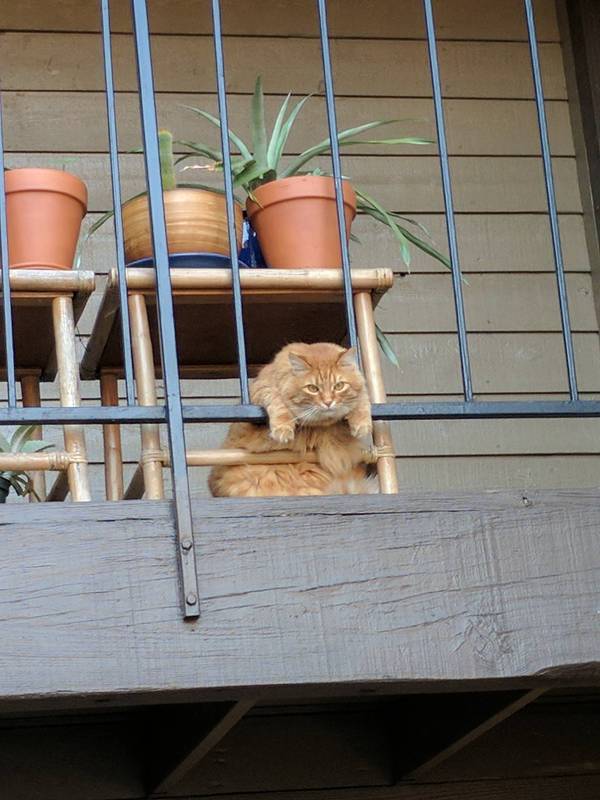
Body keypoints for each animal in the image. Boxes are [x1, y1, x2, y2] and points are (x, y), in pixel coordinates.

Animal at [209, 342, 378, 496]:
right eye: (313, 388)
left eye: (339, 386)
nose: (328, 402)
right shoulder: (261, 391)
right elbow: (278, 403)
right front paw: (283, 429)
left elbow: (363, 400)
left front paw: (362, 424)